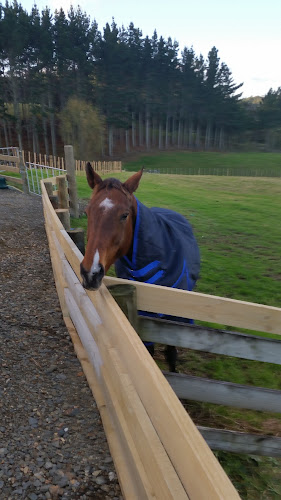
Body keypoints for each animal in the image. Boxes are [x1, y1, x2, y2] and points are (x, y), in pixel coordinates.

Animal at [80, 164, 200, 372]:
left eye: (124, 215)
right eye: (87, 212)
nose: (91, 273)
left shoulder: (175, 317)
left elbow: (171, 353)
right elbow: (148, 350)